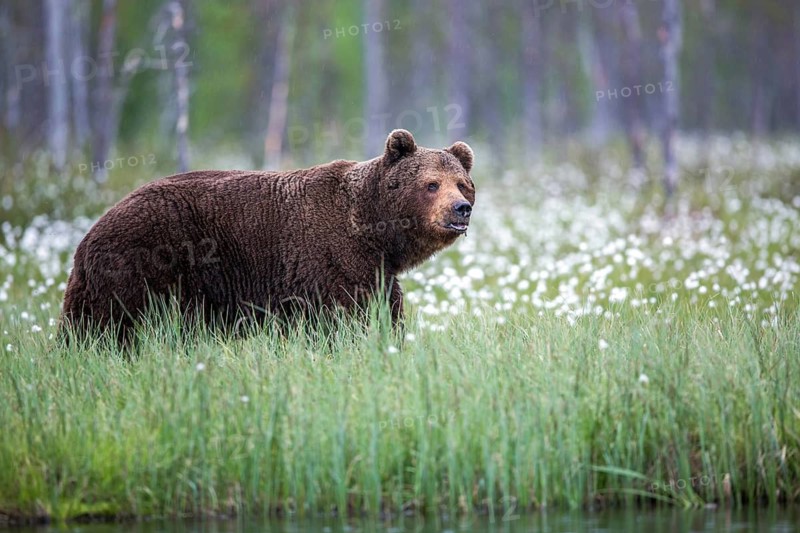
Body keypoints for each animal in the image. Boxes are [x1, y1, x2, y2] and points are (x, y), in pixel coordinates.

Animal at [61, 129, 475, 343]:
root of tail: (88, 233)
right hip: (142, 266)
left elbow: (385, 310)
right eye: (431, 184)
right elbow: (347, 316)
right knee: (110, 326)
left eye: (461, 183)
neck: (373, 230)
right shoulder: (333, 259)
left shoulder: (376, 270)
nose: (460, 209)